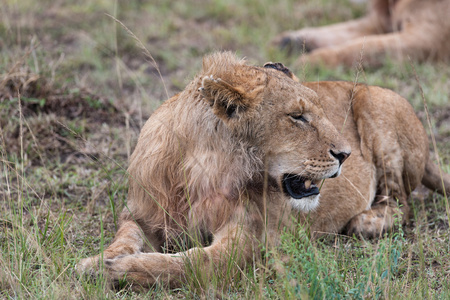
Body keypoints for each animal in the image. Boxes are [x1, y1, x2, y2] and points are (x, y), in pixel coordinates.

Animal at [77, 51, 450, 288]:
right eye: (297, 117)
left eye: (319, 111)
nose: (346, 154)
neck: (197, 171)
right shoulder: (141, 213)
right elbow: (124, 236)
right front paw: (100, 259)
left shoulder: (247, 239)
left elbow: (190, 264)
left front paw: (113, 271)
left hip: (378, 107)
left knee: (402, 204)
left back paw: (365, 222)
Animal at [270, 0, 450, 67]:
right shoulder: (378, 21)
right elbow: (342, 30)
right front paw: (288, 41)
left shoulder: (429, 38)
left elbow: (362, 47)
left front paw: (308, 61)